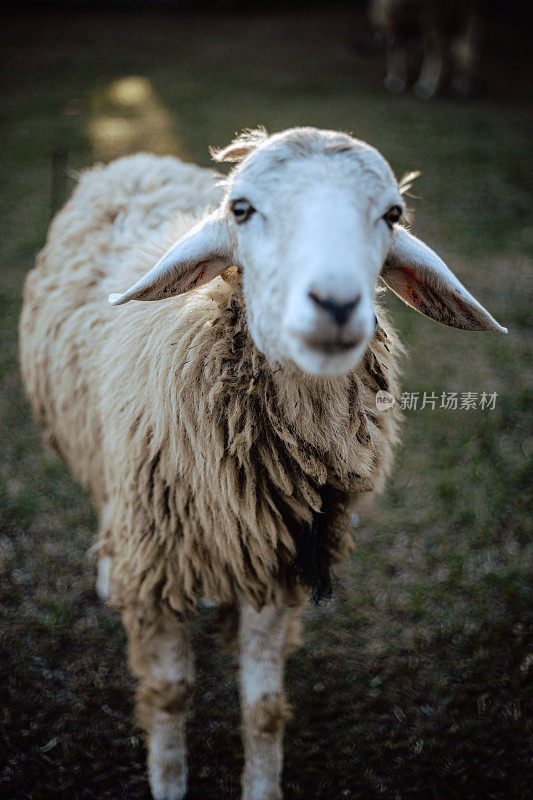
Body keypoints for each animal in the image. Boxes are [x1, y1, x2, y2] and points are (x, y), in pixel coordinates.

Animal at [18, 126, 504, 800]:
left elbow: (264, 708)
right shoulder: (158, 564)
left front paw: (261, 782)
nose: (336, 303)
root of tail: (134, 160)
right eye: (242, 209)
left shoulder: (281, 561)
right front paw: (169, 780)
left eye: (392, 214)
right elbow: (170, 693)